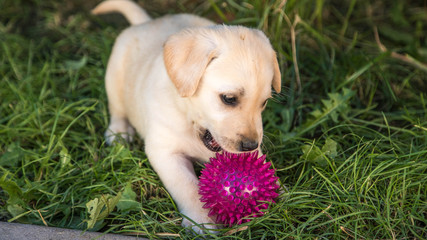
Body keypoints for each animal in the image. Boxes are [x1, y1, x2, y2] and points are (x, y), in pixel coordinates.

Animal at [92, 0, 282, 233]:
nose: (250, 146)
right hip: (114, 76)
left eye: (264, 103)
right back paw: (118, 132)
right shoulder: (165, 152)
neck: (189, 119)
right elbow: (188, 186)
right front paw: (202, 221)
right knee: (117, 108)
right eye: (229, 98)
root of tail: (146, 22)